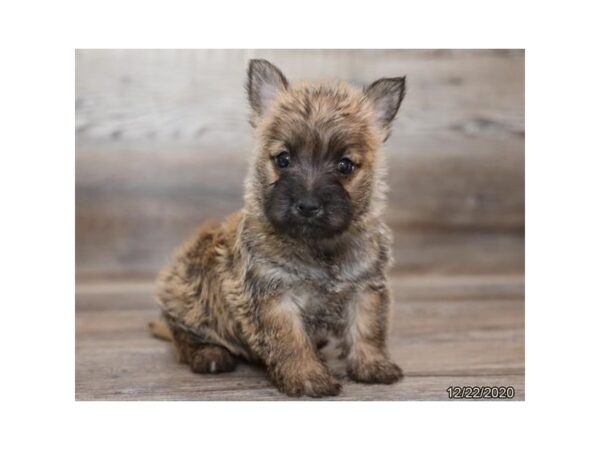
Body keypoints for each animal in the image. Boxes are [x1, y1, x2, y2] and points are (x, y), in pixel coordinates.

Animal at [152, 59, 406, 398]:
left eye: (345, 166)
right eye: (283, 159)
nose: (308, 205)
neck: (319, 248)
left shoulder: (366, 287)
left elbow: (368, 329)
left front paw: (373, 365)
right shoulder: (274, 296)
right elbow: (291, 341)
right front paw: (308, 376)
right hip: (187, 293)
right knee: (184, 335)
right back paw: (209, 354)